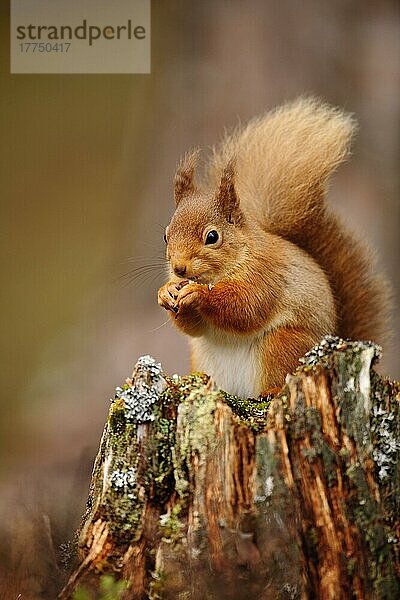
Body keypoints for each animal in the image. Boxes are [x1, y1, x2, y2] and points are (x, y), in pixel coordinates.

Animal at [157, 98, 390, 398]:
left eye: (212, 236)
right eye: (166, 236)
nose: (179, 268)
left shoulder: (266, 275)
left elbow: (244, 308)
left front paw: (199, 294)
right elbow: (193, 328)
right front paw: (166, 292)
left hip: (281, 345)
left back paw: (271, 390)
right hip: (203, 357)